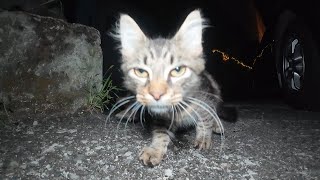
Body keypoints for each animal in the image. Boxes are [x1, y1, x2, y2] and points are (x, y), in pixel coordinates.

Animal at [109, 9, 236, 166]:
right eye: (141, 72)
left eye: (177, 70)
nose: (156, 94)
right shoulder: (160, 118)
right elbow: (160, 133)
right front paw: (155, 149)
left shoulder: (206, 97)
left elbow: (205, 119)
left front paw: (204, 137)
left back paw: (217, 125)